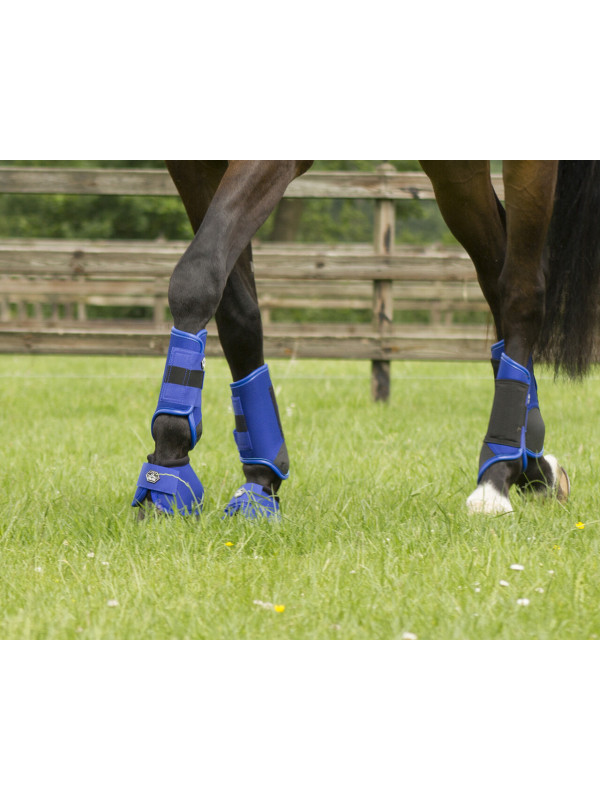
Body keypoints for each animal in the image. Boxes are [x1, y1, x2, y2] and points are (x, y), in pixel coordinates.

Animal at [131, 160, 600, 518]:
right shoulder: (193, 166)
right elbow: (233, 308)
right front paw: (254, 482)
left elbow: (196, 275)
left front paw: (168, 470)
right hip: (455, 171)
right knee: (495, 274)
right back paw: (531, 463)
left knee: (521, 292)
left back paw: (496, 479)